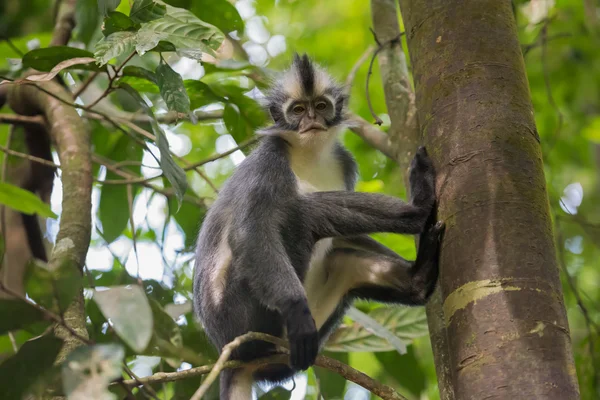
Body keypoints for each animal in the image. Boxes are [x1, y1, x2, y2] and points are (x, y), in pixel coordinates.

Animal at [195, 54, 442, 400]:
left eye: (321, 106)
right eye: (298, 110)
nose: (311, 118)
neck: (308, 153)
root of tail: (228, 354)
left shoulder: (344, 162)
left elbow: (345, 240)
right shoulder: (269, 160)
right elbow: (250, 232)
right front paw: (297, 310)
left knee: (341, 260)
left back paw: (418, 280)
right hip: (242, 317)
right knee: (300, 212)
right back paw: (417, 211)